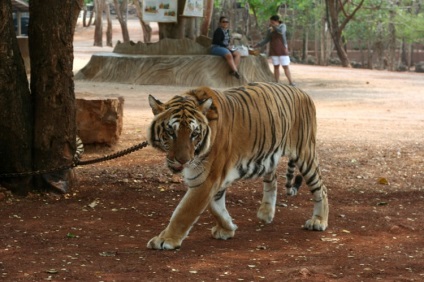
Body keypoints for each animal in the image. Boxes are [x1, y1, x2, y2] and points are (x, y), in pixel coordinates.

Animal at [147, 81, 330, 249]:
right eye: (171, 132)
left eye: (194, 134)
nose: (183, 161)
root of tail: (302, 92)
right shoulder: (214, 180)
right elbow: (216, 207)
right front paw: (228, 228)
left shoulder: (206, 180)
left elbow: (183, 212)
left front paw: (165, 240)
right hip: (269, 155)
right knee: (272, 179)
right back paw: (266, 213)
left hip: (305, 153)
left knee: (321, 188)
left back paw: (318, 221)